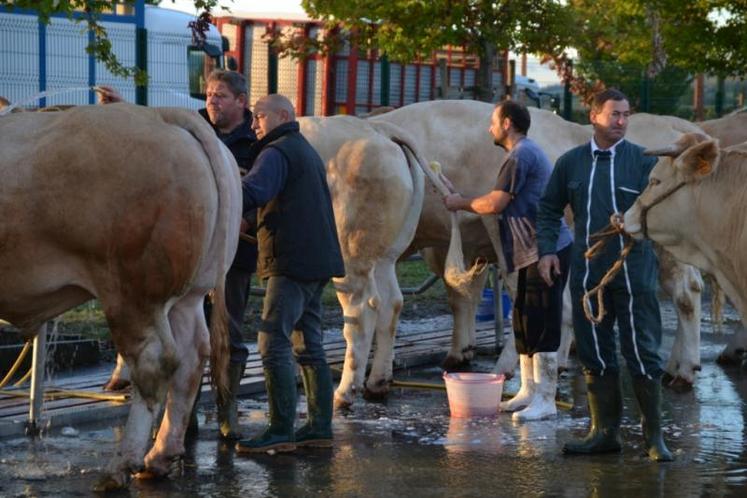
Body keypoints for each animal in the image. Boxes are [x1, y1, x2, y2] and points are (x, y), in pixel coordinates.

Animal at [0, 103, 240, 488]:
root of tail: (163, 114)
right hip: (189, 294)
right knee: (192, 356)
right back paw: (159, 456)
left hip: (131, 292)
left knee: (154, 362)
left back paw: (121, 466)